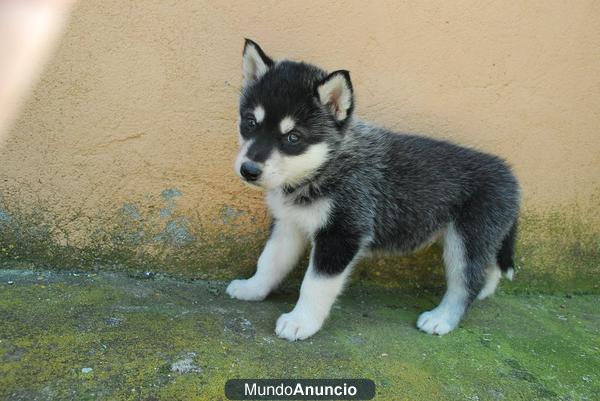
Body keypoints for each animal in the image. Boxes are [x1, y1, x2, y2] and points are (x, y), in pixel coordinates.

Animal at [227, 38, 516, 340]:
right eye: (250, 122)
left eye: (293, 137)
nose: (249, 170)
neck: (324, 167)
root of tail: (508, 174)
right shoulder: (288, 225)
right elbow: (269, 261)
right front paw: (252, 288)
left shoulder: (342, 235)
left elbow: (314, 285)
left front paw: (301, 322)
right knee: (488, 269)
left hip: (466, 239)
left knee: (465, 282)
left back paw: (442, 319)